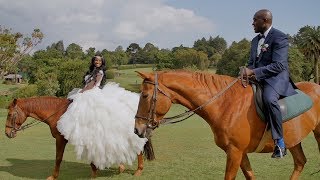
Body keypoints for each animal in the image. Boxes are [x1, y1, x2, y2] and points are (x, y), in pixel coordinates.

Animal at [4, 96, 149, 180]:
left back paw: (138, 171)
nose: (6, 133)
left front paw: (53, 176)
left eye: (10, 114)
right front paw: (94, 172)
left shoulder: (60, 139)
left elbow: (58, 158)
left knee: (137, 148)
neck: (57, 112)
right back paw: (122, 167)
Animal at [134, 70, 320, 180]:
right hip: (294, 139)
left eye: (144, 95)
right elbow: (250, 176)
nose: (137, 129)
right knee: (300, 162)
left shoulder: (234, 152)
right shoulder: (240, 153)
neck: (226, 104)